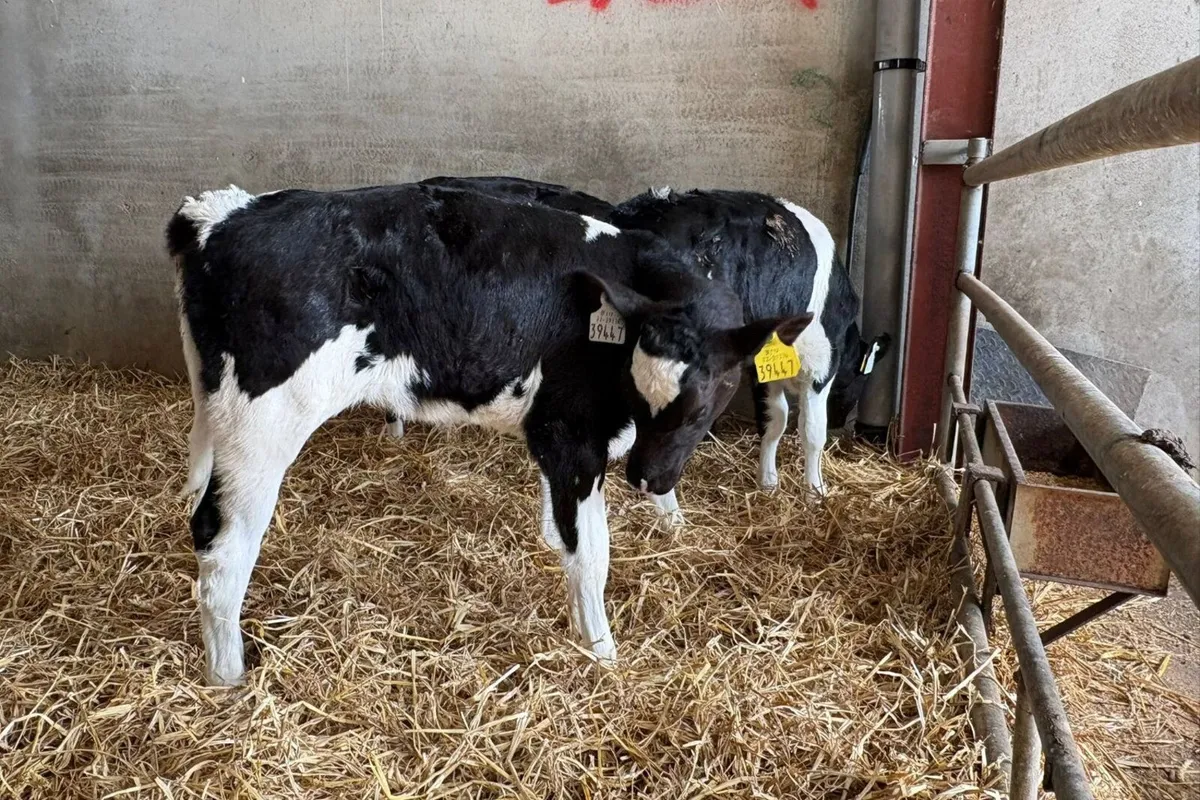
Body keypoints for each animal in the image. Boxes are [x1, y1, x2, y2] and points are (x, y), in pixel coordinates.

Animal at [168, 182, 809, 685]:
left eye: (706, 405)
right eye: (655, 394)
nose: (648, 478)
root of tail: (223, 213)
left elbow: (564, 525)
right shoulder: (571, 433)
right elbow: (592, 554)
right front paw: (602, 652)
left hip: (217, 410)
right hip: (263, 424)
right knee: (221, 545)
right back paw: (228, 678)